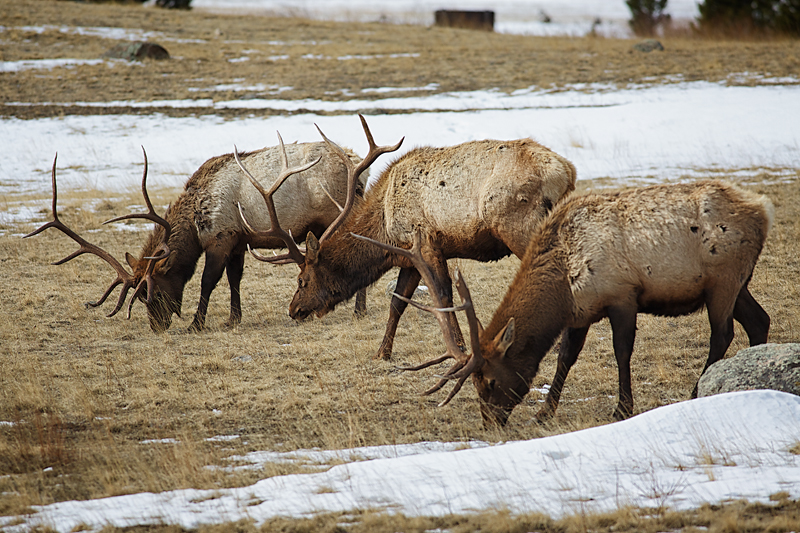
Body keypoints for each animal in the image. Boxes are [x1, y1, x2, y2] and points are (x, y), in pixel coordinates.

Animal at [24, 141, 368, 332]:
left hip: (335, 215)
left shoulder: (220, 238)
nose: (157, 327)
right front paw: (233, 319)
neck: (194, 217)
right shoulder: (238, 241)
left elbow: (207, 281)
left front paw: (196, 324)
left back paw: (359, 310)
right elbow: (234, 279)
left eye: (154, 294)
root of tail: (357, 166)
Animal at [248, 114, 576, 360]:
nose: (294, 310)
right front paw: (382, 352)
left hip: (519, 226)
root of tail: (567, 172)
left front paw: (460, 347)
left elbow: (442, 296)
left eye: (302, 280)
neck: (384, 229)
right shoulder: (408, 257)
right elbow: (398, 302)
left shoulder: (427, 243)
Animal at [364, 181, 776, 426]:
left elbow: (621, 351)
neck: (562, 280)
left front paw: (622, 408)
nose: (490, 423)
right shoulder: (581, 311)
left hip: (723, 280)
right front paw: (545, 411)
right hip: (736, 284)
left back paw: (694, 393)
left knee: (722, 334)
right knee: (759, 320)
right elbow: (565, 356)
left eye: (491, 382)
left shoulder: (622, 295)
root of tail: (762, 210)